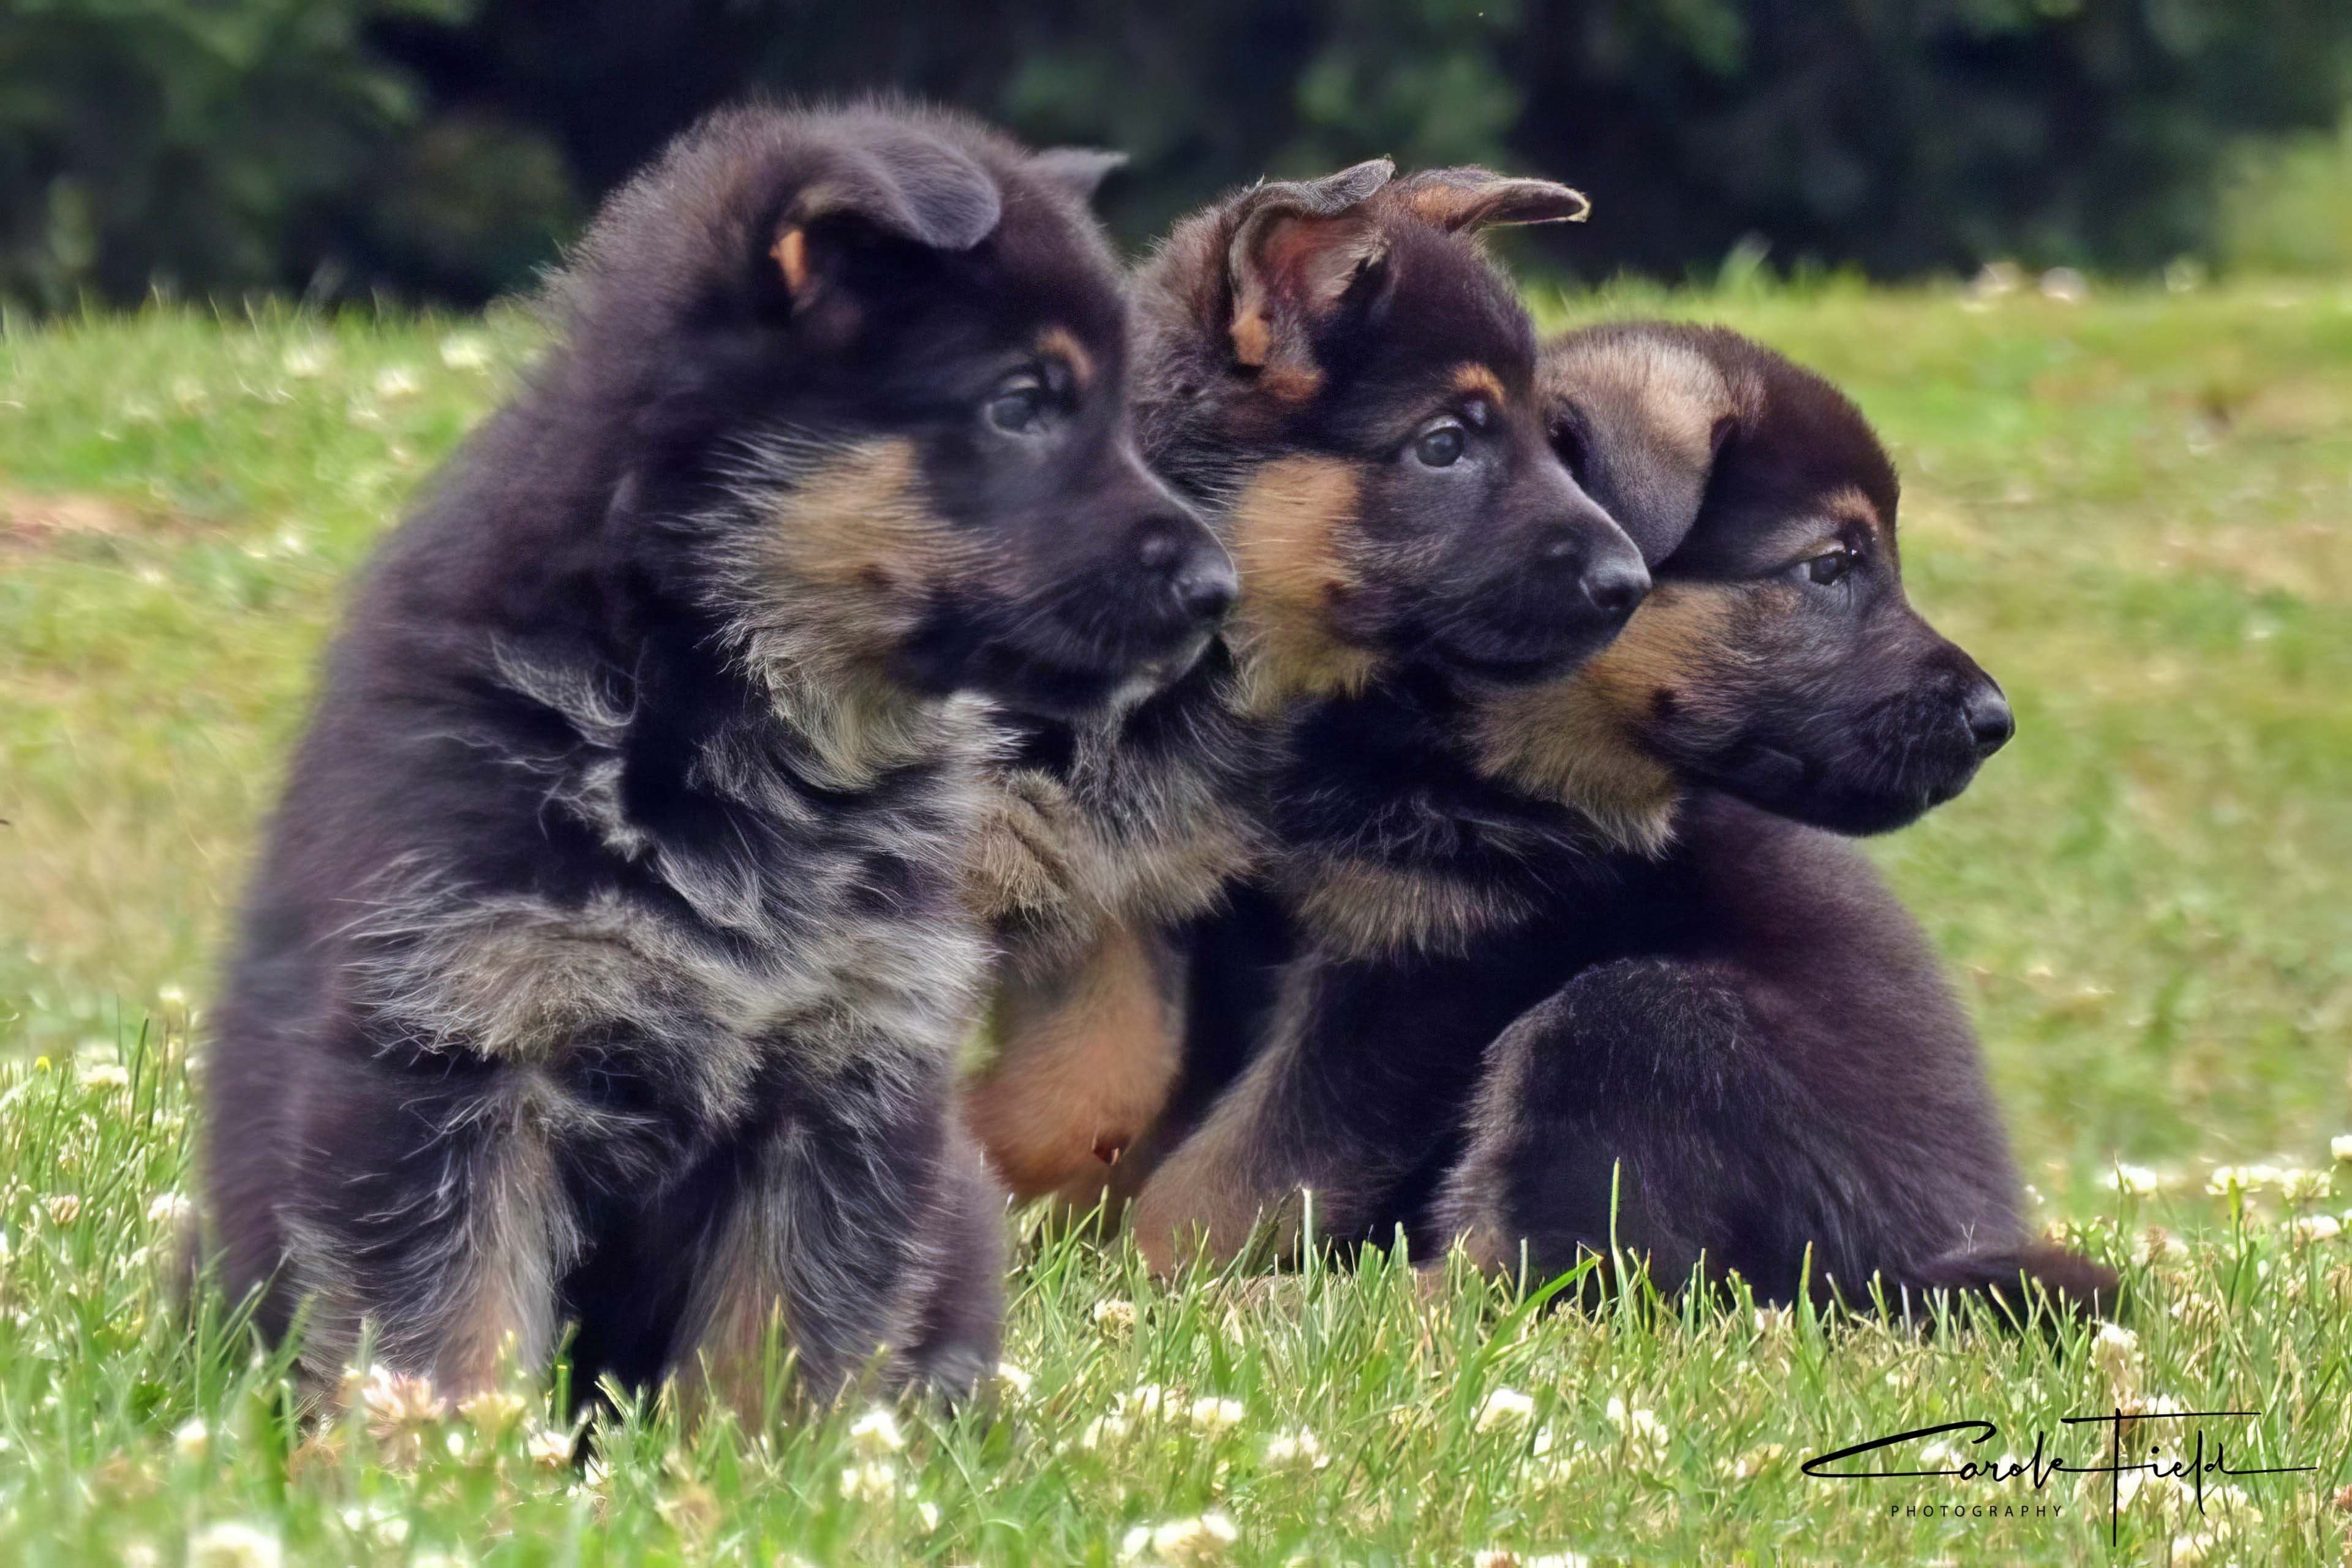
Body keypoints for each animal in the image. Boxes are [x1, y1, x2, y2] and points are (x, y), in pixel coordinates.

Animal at [205, 104, 1232, 1420]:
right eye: (1023, 403)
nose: (1220, 591)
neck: (709, 705)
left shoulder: (845, 1077)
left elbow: (777, 1348)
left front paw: (766, 1471)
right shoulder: (452, 1051)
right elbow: (452, 1331)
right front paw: (450, 1462)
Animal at [1138, 322, 2117, 1325]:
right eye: (1830, 566)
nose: (1995, 719)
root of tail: (1923, 1260)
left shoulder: (1420, 971)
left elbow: (1238, 1172)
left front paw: (1144, 1280)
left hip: (1632, 1021)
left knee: (1548, 1277)